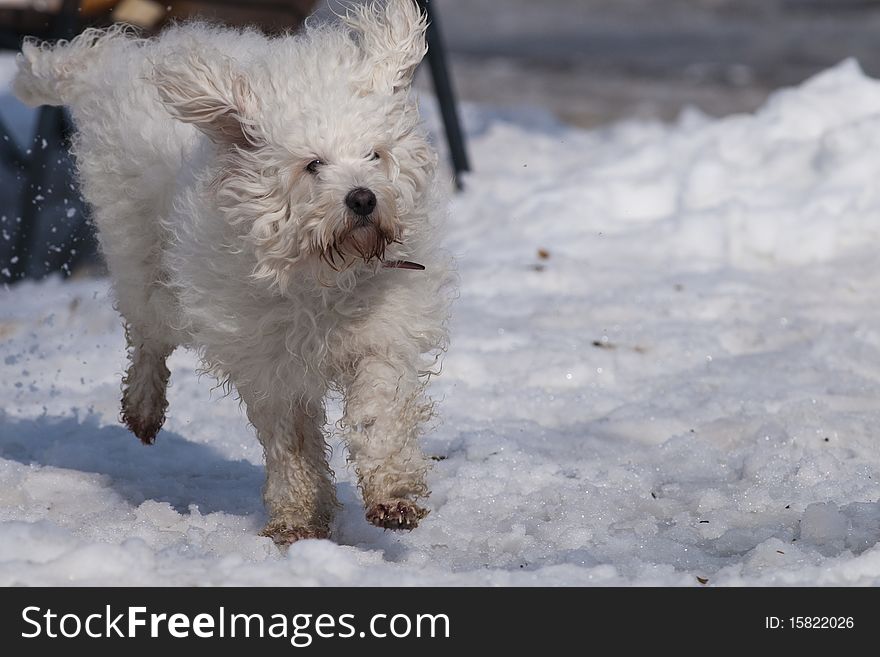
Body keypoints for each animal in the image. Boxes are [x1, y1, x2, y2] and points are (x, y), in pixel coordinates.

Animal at [12, 0, 454, 544]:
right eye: (313, 165)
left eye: (375, 154)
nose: (363, 198)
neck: (322, 275)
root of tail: (122, 64)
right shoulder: (268, 362)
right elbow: (290, 443)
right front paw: (296, 519)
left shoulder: (382, 336)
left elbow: (379, 415)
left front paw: (392, 496)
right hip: (141, 259)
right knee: (148, 334)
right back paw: (142, 407)